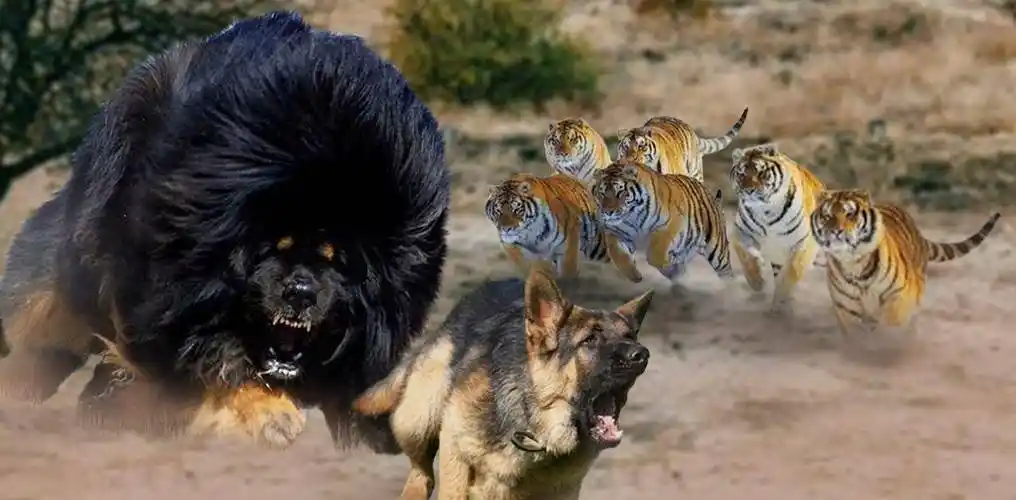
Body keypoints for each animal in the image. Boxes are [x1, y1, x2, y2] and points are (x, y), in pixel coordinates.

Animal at [485, 172, 643, 283]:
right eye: (498, 210)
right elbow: (526, 263)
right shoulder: (511, 244)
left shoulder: (569, 239)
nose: (506, 229)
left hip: (599, 247)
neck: (530, 232)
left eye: (516, 208)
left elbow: (568, 269)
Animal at [590, 159, 734, 287]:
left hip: (717, 250)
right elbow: (618, 256)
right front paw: (635, 276)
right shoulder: (615, 233)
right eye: (601, 193)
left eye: (620, 191)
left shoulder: (668, 225)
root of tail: (709, 194)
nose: (608, 212)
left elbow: (655, 253)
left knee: (727, 272)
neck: (632, 216)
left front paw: (670, 267)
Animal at [729, 142, 827, 313]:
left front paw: (780, 300)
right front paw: (758, 282)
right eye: (741, 174)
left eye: (761, 173)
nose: (749, 191)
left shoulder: (805, 241)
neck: (766, 211)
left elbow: (792, 271)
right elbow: (746, 257)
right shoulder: (739, 232)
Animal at [810, 189, 1000, 343]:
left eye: (850, 214)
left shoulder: (900, 294)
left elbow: (893, 320)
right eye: (827, 216)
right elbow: (855, 334)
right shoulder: (846, 306)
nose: (836, 231)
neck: (853, 263)